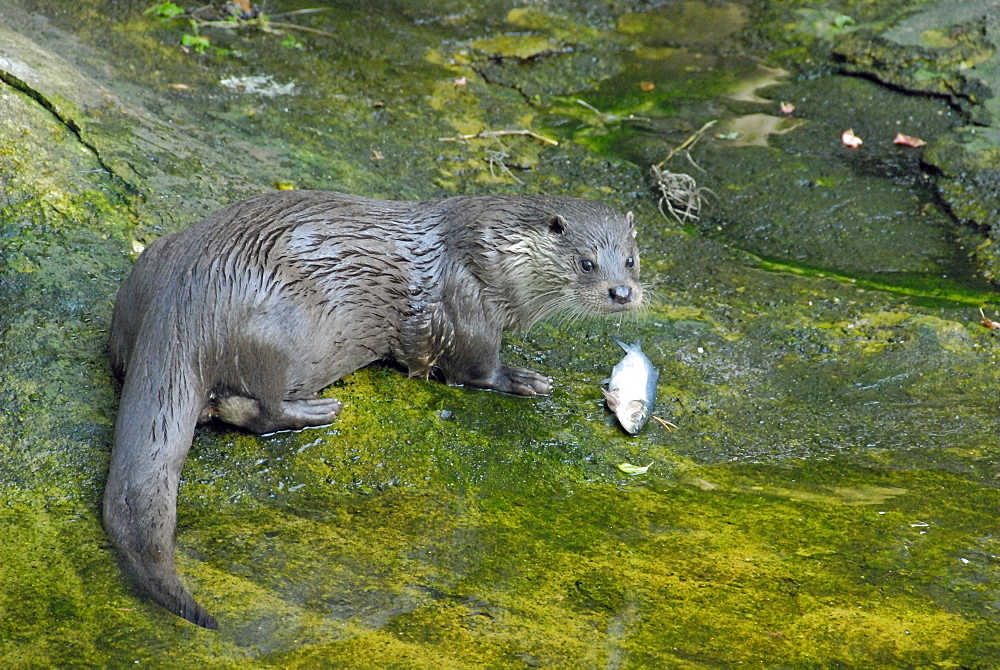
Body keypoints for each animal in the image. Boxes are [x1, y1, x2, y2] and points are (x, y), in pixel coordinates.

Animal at [105, 190, 640, 632]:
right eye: (587, 263)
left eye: (631, 260)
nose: (623, 292)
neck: (492, 256)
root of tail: (182, 304)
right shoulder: (467, 307)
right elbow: (476, 369)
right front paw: (523, 379)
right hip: (287, 333)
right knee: (259, 409)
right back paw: (318, 410)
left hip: (151, 268)